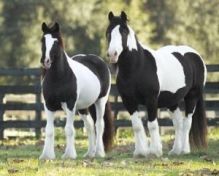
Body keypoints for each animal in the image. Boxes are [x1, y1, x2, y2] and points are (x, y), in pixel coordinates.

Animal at [39, 22, 114, 160]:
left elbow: (69, 129)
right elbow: (49, 130)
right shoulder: (49, 105)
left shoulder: (70, 105)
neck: (59, 76)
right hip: (83, 107)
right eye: (42, 40)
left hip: (101, 101)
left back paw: (99, 152)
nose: (45, 61)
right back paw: (89, 153)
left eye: (56, 42)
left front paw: (69, 154)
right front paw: (47, 155)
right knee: (90, 125)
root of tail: (99, 61)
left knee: (99, 125)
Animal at [107, 11, 208, 157]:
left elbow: (152, 125)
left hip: (192, 97)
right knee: (178, 123)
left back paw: (184, 150)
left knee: (187, 122)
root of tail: (196, 55)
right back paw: (175, 151)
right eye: (108, 32)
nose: (112, 54)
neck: (138, 67)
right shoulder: (128, 101)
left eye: (124, 32)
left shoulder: (151, 100)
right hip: (172, 101)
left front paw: (155, 151)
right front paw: (140, 152)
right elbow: (136, 126)